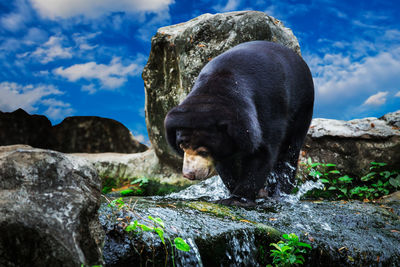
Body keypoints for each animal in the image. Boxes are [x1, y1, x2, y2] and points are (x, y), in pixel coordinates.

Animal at [164, 40, 314, 206]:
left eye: (203, 151)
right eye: (182, 146)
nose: (189, 175)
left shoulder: (267, 108)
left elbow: (262, 151)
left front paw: (238, 199)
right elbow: (226, 162)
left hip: (302, 106)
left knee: (290, 150)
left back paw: (279, 193)